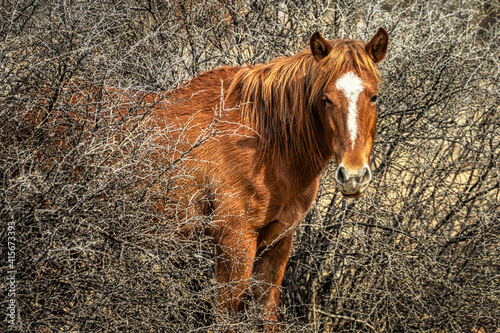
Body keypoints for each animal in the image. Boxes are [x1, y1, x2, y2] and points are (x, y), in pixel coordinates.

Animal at [150, 26, 388, 326]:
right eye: (326, 99)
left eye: (374, 97)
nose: (353, 176)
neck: (263, 141)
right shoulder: (234, 243)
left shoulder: (277, 243)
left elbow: (267, 315)